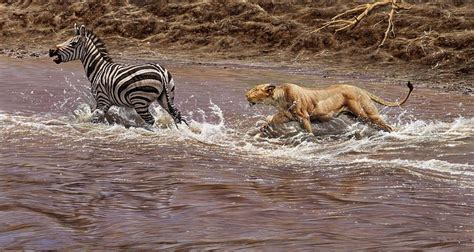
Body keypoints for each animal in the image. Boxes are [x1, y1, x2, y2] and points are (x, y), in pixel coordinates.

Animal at [48, 23, 187, 128]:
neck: (99, 69)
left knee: (151, 120)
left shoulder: (102, 99)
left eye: (73, 44)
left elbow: (94, 118)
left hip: (140, 101)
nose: (51, 51)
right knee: (177, 116)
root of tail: (160, 72)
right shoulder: (106, 102)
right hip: (166, 97)